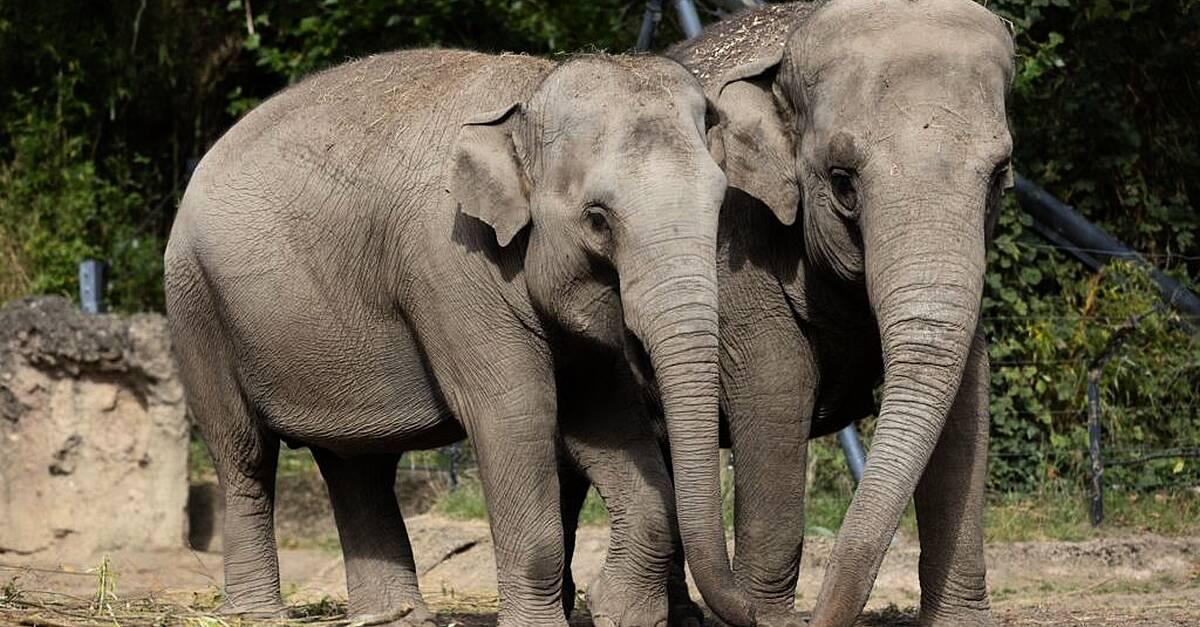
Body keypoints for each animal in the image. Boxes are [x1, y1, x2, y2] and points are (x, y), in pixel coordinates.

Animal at [164, 49, 751, 627]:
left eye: (722, 204)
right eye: (598, 219)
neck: (531, 92)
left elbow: (607, 417)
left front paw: (620, 613)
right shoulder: (450, 264)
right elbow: (517, 413)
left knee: (357, 463)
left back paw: (396, 618)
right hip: (197, 306)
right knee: (244, 455)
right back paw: (258, 614)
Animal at [662, 0, 1016, 625]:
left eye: (1000, 174)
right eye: (843, 183)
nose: (819, 613)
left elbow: (968, 398)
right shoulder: (731, 239)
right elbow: (777, 386)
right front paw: (768, 617)